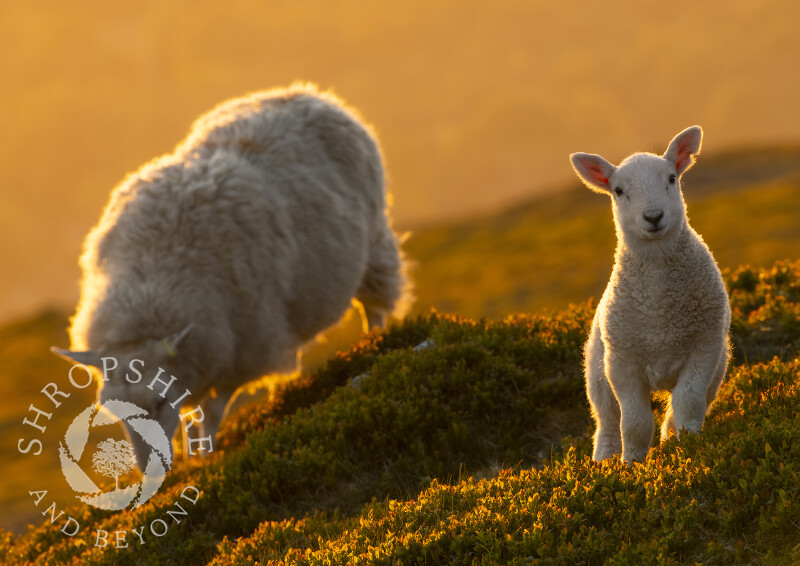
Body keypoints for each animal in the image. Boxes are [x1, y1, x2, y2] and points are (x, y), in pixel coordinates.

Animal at [53, 81, 410, 470]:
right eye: (114, 412)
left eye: (158, 403)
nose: (150, 473)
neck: (150, 283)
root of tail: (305, 92)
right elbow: (192, 412)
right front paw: (192, 457)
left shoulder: (238, 352)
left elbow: (210, 412)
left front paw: (204, 458)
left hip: (374, 245)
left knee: (375, 306)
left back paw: (371, 345)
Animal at [568, 126, 732, 464]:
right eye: (618, 190)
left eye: (671, 178)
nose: (654, 216)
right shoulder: (622, 363)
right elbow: (634, 421)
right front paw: (632, 463)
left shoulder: (704, 347)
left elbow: (688, 402)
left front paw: (689, 444)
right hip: (597, 375)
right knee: (606, 422)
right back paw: (603, 462)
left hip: (719, 366)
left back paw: (671, 438)